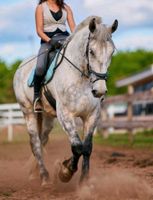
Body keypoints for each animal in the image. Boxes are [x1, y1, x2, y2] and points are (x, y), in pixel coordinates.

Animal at [13, 16, 118, 186]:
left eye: (111, 52)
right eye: (91, 51)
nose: (100, 91)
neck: (81, 77)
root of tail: (20, 67)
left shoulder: (91, 116)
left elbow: (87, 147)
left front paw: (84, 182)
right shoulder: (66, 116)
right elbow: (77, 147)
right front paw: (65, 172)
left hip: (48, 117)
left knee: (43, 140)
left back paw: (35, 173)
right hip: (28, 112)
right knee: (35, 143)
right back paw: (44, 177)